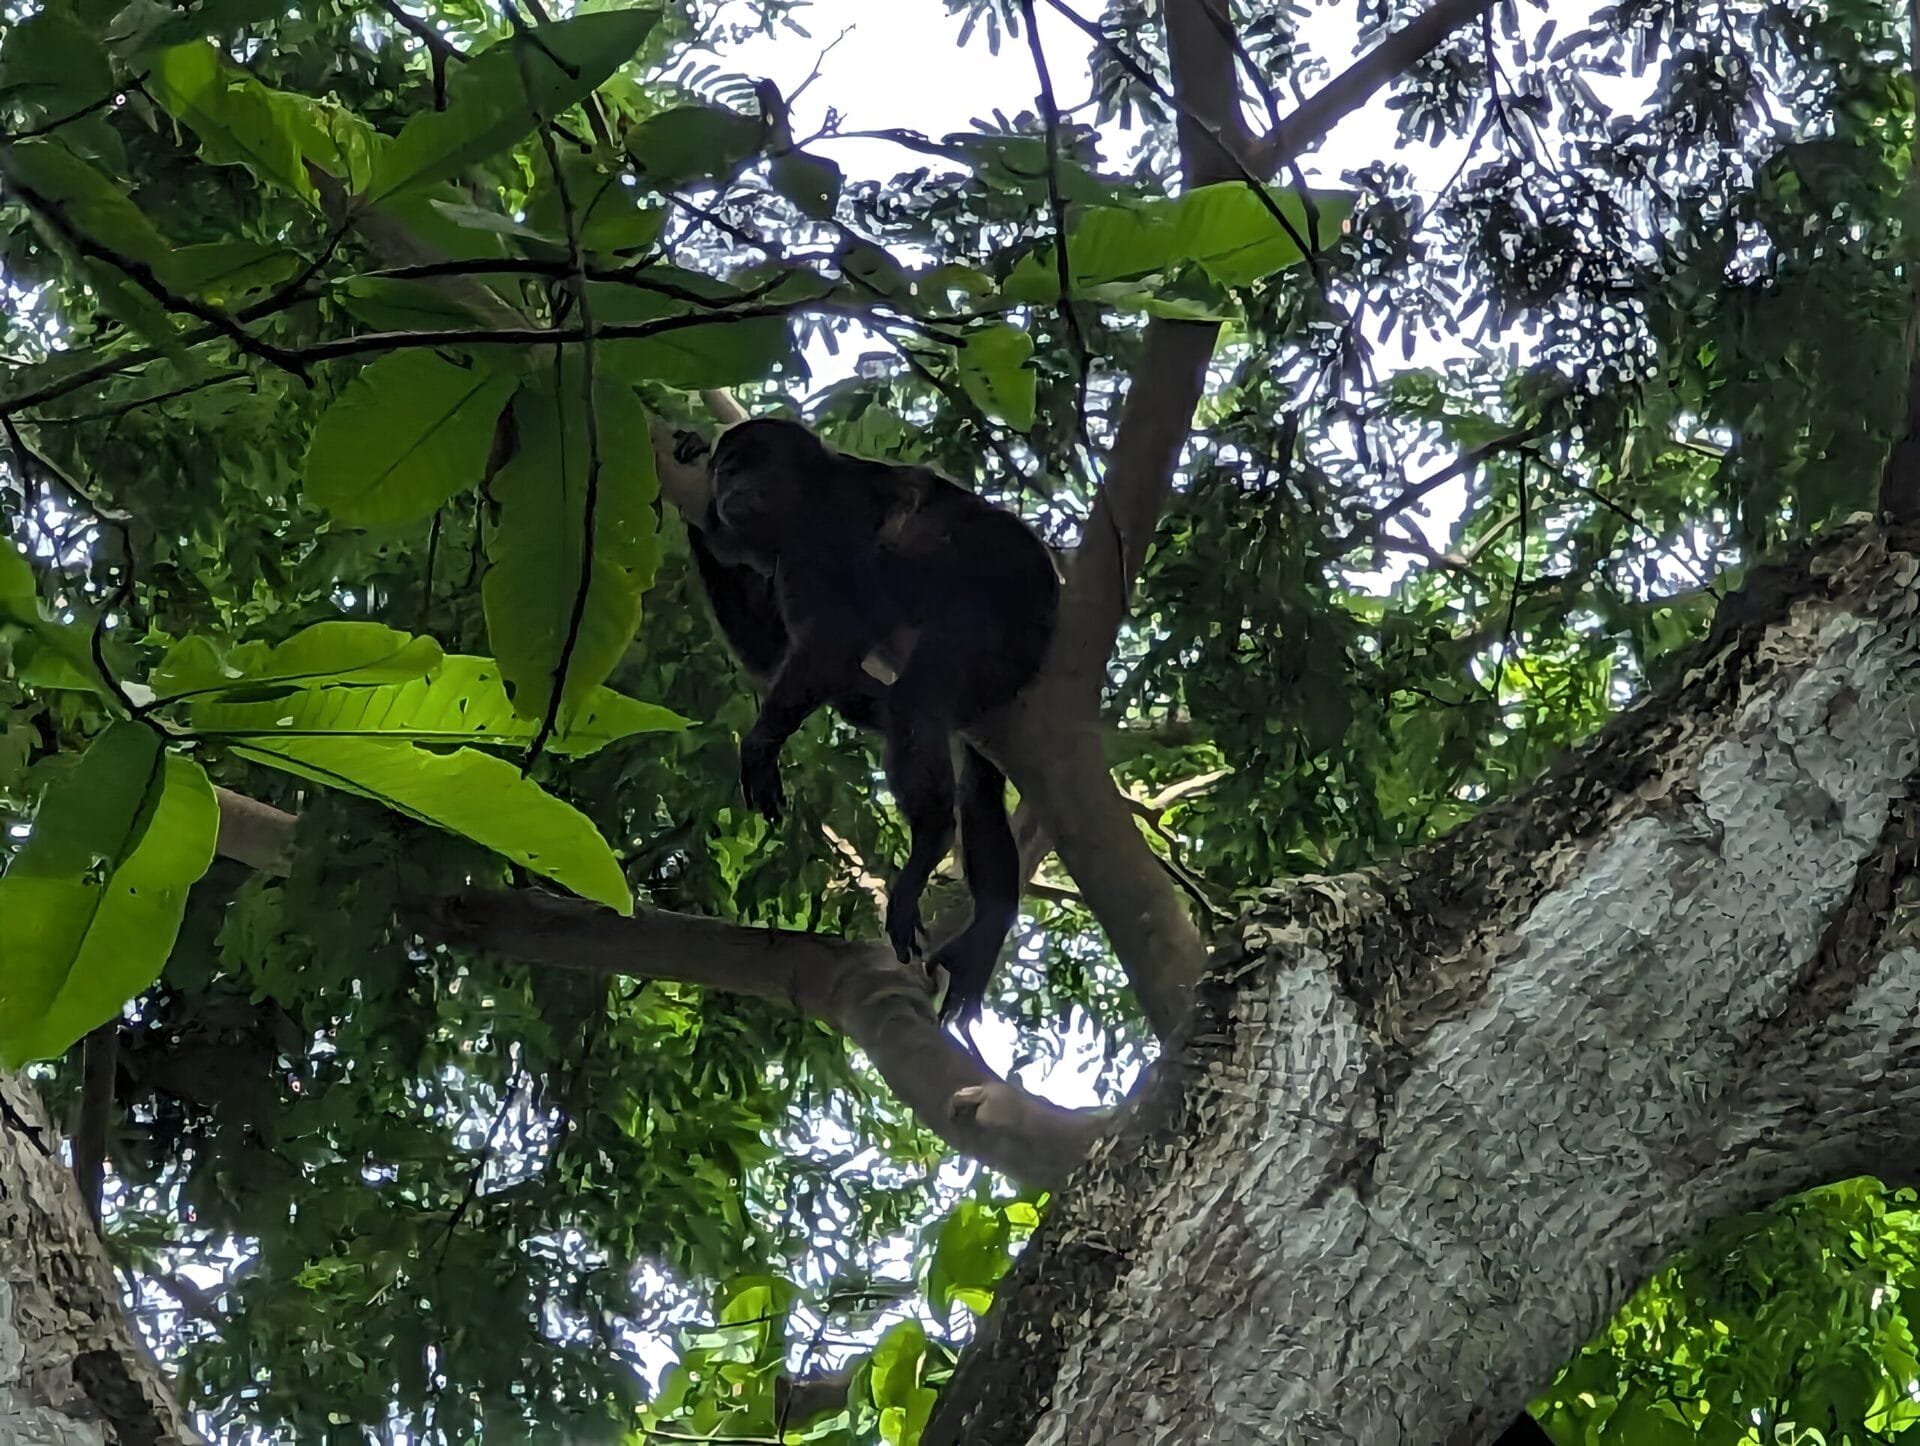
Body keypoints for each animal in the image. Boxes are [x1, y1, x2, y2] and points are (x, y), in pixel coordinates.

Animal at [671, 418, 1059, 1030]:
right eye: (724, 470)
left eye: (749, 464)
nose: (730, 485)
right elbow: (778, 656)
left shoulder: (820, 534)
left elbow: (835, 637)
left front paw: (760, 745)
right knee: (977, 782)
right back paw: (992, 918)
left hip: (1005, 606)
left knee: (916, 705)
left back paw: (929, 840)